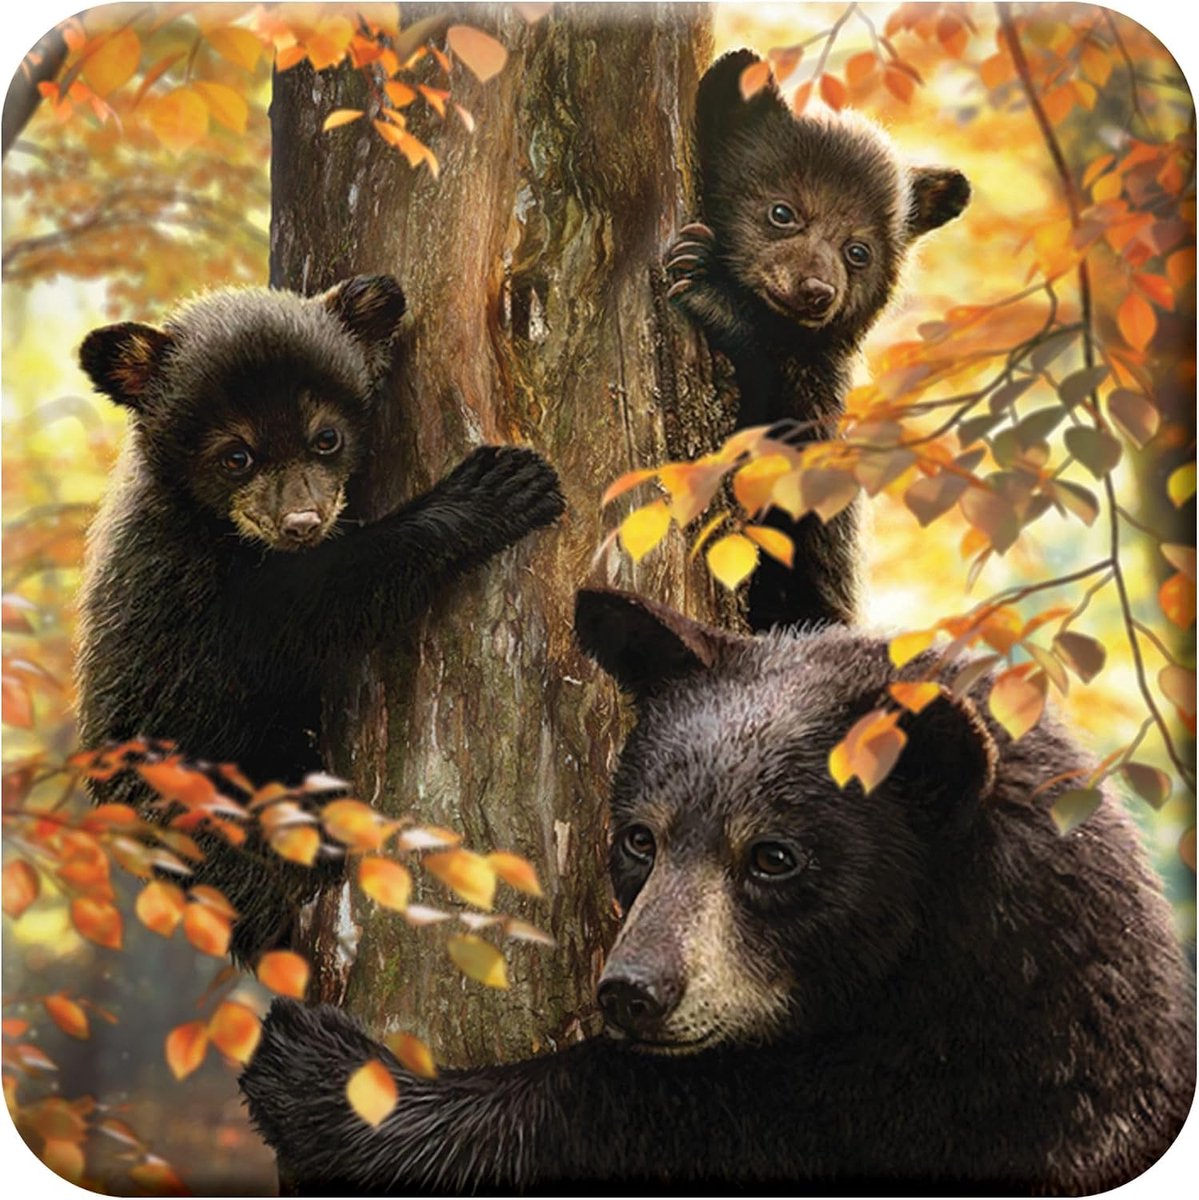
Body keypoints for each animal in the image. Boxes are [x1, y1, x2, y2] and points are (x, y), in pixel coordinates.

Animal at [76, 275, 565, 961]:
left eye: (326, 437)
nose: (302, 522)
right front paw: (498, 487)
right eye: (236, 456)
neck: (214, 527)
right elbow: (314, 608)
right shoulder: (195, 594)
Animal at [239, 587, 1194, 1193]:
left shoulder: (939, 1106)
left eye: (773, 857)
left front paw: (331, 1080)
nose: (632, 990)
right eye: (639, 837)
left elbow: (649, 1112)